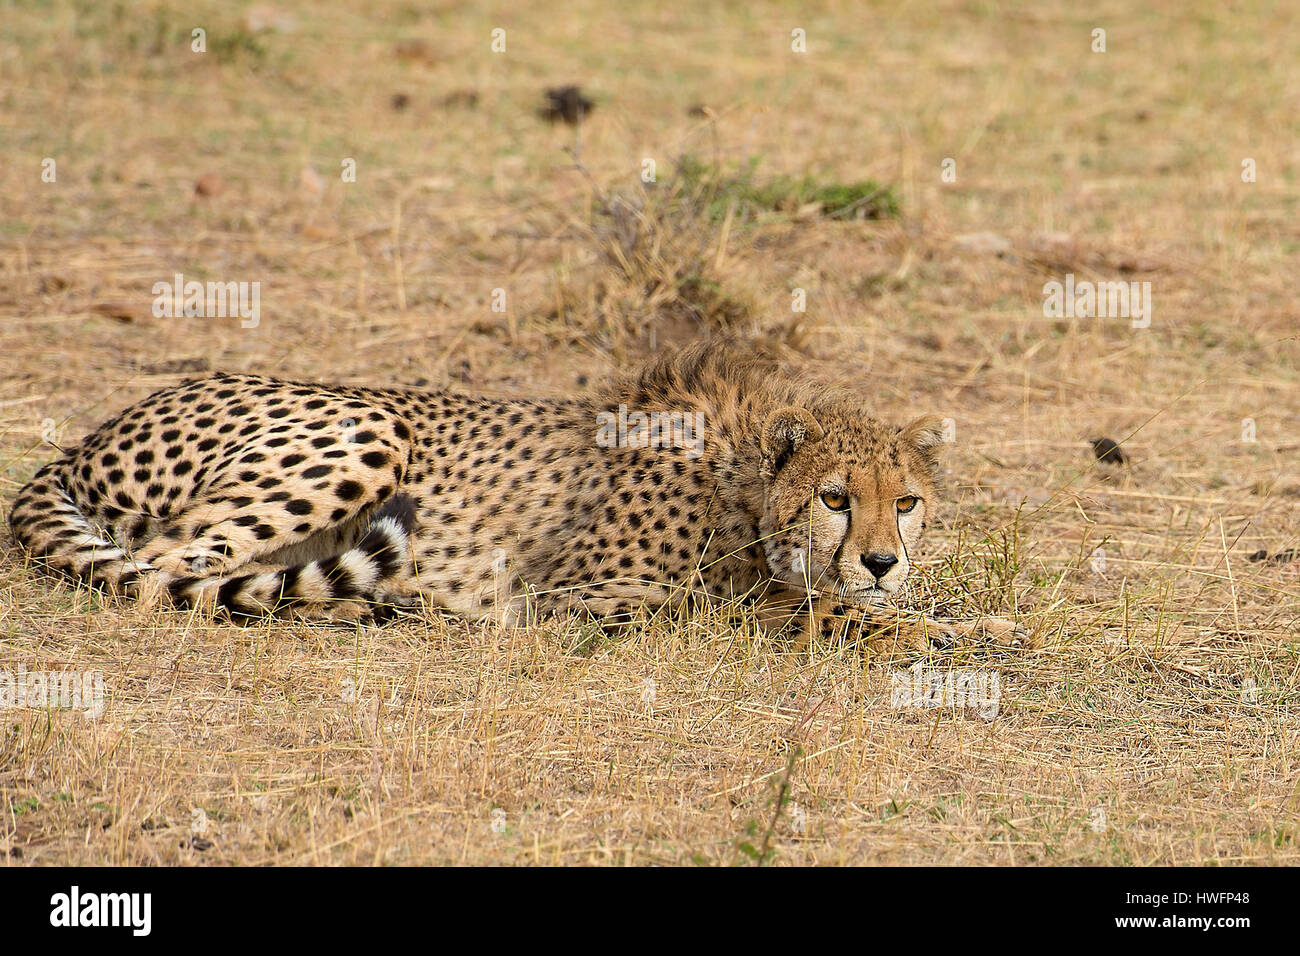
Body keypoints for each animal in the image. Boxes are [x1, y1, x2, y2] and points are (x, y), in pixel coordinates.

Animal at [7, 343, 1024, 650]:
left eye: (907, 502)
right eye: (835, 499)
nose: (882, 560)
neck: (740, 485)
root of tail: (87, 437)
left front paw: (975, 622)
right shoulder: (581, 599)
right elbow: (776, 609)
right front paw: (902, 626)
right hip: (365, 430)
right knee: (163, 571)